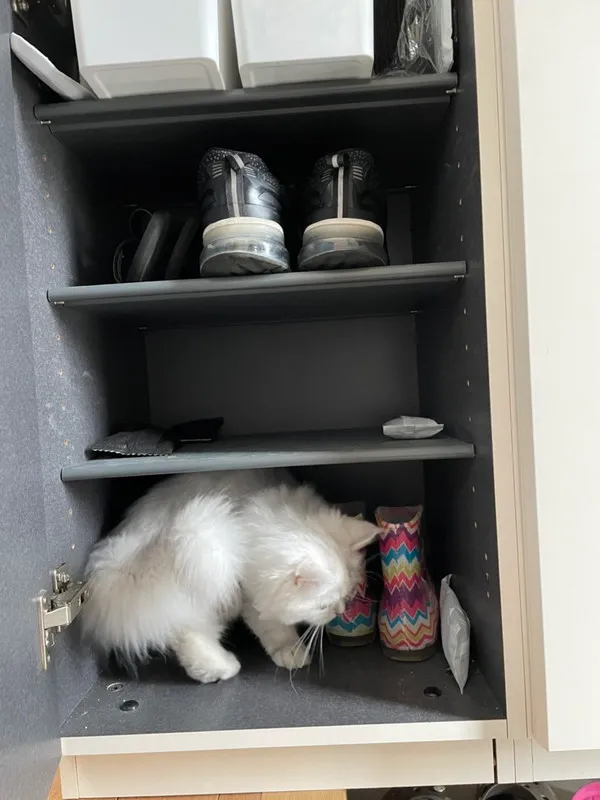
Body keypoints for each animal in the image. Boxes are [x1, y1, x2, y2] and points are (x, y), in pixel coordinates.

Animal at [82, 468, 378, 683]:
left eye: (350, 594)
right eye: (323, 606)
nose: (340, 611)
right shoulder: (248, 592)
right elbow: (275, 628)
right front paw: (291, 651)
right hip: (208, 555)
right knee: (187, 633)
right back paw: (223, 668)